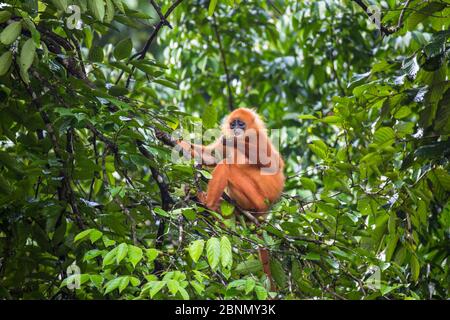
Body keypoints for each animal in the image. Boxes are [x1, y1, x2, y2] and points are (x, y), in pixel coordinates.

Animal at [176, 107, 284, 290]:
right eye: (233, 124)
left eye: (241, 124)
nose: (235, 129)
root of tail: (265, 211)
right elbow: (209, 156)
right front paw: (173, 140)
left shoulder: (259, 138)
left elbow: (273, 164)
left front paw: (232, 141)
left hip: (256, 199)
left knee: (227, 165)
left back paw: (207, 203)